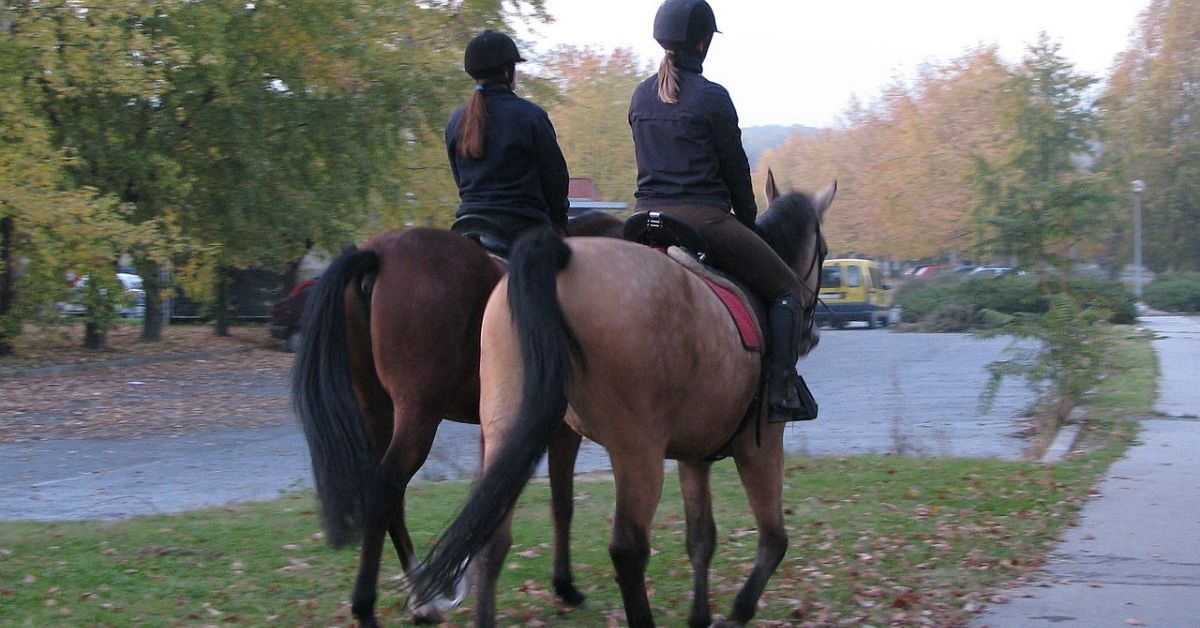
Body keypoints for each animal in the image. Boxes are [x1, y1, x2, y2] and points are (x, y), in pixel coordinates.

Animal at [292, 211, 619, 624]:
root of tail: (376, 254)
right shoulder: (561, 430)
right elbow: (562, 502)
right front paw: (565, 586)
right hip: (419, 412)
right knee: (386, 486)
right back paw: (368, 606)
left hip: (376, 407)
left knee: (389, 496)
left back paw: (422, 598)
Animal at [412, 172, 835, 628]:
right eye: (825, 252)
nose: (812, 334)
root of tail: (561, 255)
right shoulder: (760, 446)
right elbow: (773, 539)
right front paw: (736, 613)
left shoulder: (694, 456)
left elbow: (701, 539)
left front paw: (700, 616)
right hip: (638, 453)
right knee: (628, 550)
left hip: (507, 431)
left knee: (491, 537)